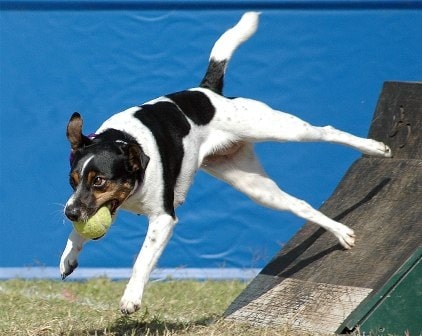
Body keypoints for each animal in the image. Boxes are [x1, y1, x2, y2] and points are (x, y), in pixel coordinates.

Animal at [60, 11, 392, 314]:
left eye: (99, 180)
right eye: (72, 181)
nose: (68, 212)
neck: (126, 140)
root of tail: (208, 91)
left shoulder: (163, 219)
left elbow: (141, 260)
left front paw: (131, 298)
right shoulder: (100, 206)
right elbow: (79, 233)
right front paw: (69, 256)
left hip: (279, 128)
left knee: (327, 131)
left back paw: (375, 148)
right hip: (255, 186)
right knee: (299, 204)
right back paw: (341, 232)